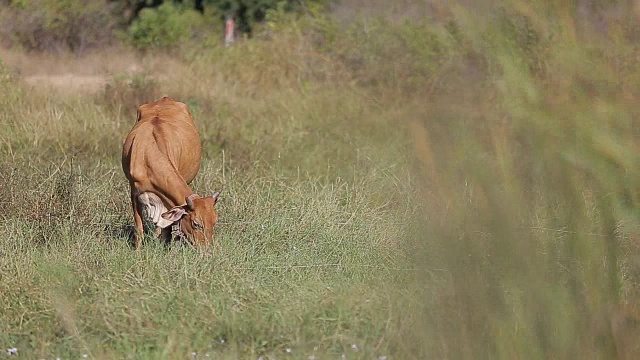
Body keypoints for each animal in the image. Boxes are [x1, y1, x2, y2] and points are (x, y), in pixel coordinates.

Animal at [121, 95, 221, 248]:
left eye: (214, 222)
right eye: (196, 223)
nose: (207, 249)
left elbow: (166, 230)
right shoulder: (134, 191)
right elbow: (139, 228)